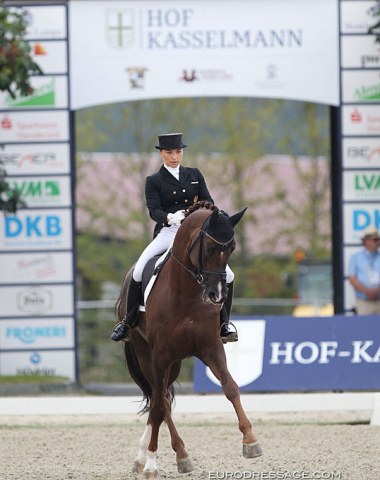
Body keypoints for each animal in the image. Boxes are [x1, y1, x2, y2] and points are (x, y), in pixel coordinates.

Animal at [116, 202, 262, 476]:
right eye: (210, 247)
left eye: (232, 248)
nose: (217, 295)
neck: (186, 291)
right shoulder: (160, 355)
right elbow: (159, 407)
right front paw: (152, 463)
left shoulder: (210, 347)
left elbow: (231, 388)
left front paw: (250, 441)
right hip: (147, 356)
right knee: (160, 400)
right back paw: (169, 455)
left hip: (174, 363)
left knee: (160, 398)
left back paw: (158, 455)